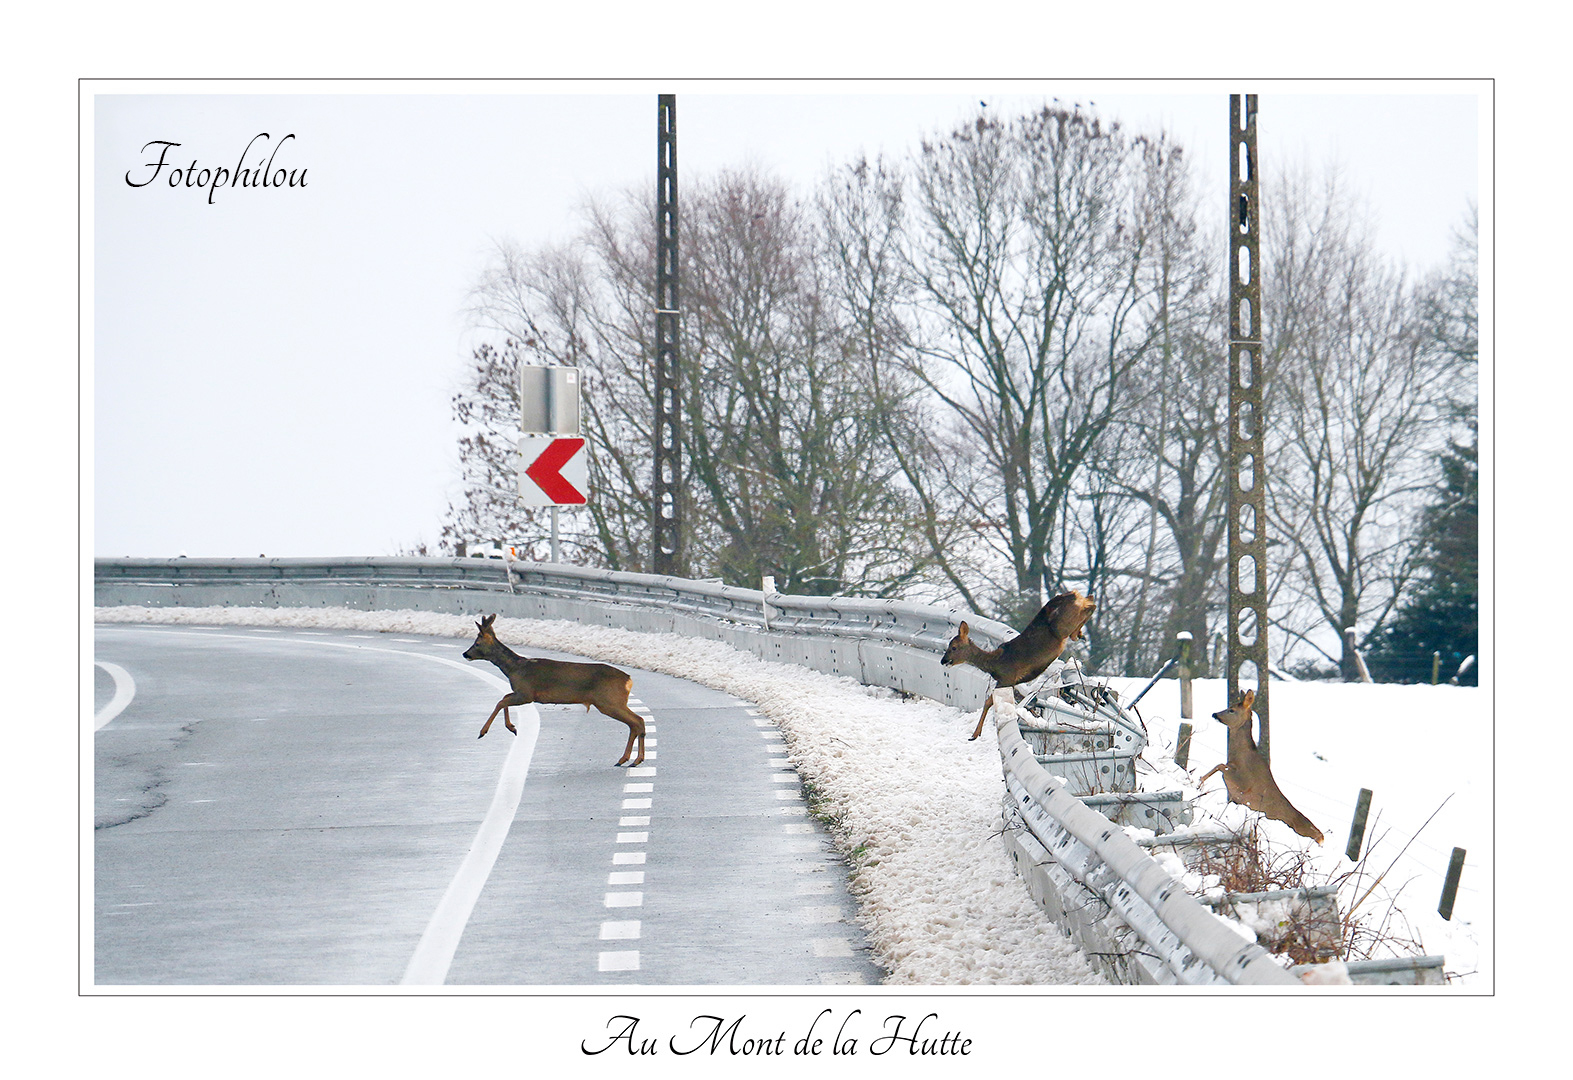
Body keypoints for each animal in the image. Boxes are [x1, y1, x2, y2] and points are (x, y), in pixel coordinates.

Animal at [459, 616, 644, 770]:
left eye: (477, 643)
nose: (465, 653)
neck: (514, 669)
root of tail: (628, 680)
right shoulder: (520, 693)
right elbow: (504, 698)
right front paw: (512, 727)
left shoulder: (527, 693)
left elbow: (501, 701)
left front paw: (485, 731)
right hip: (612, 702)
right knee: (634, 724)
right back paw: (625, 759)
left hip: (609, 700)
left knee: (638, 721)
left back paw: (635, 760)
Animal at [943, 591, 1094, 742]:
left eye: (954, 647)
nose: (943, 661)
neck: (994, 664)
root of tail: (1073, 594)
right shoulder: (1009, 682)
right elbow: (993, 701)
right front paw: (975, 734)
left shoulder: (1007, 678)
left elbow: (988, 702)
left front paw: (974, 735)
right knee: (1090, 599)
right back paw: (1080, 633)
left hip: (1063, 626)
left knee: (1090, 606)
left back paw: (1077, 634)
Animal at [1195, 691, 1321, 842]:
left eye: (1232, 710)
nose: (1215, 714)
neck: (1239, 756)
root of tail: (1321, 836)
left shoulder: (1244, 783)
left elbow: (1219, 765)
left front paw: (1200, 782)